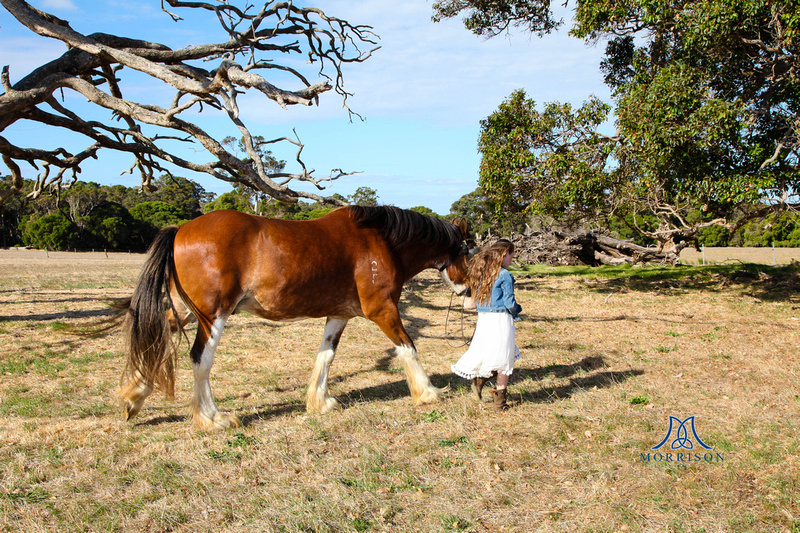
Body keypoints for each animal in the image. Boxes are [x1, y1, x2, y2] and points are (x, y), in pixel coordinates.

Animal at [115, 204, 472, 428]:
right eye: (467, 250)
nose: (468, 290)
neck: (381, 242)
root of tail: (180, 230)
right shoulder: (383, 310)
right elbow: (408, 347)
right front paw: (428, 392)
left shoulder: (339, 315)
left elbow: (326, 355)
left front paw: (320, 401)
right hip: (212, 315)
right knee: (199, 360)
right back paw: (212, 418)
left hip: (185, 310)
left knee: (155, 341)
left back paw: (134, 398)